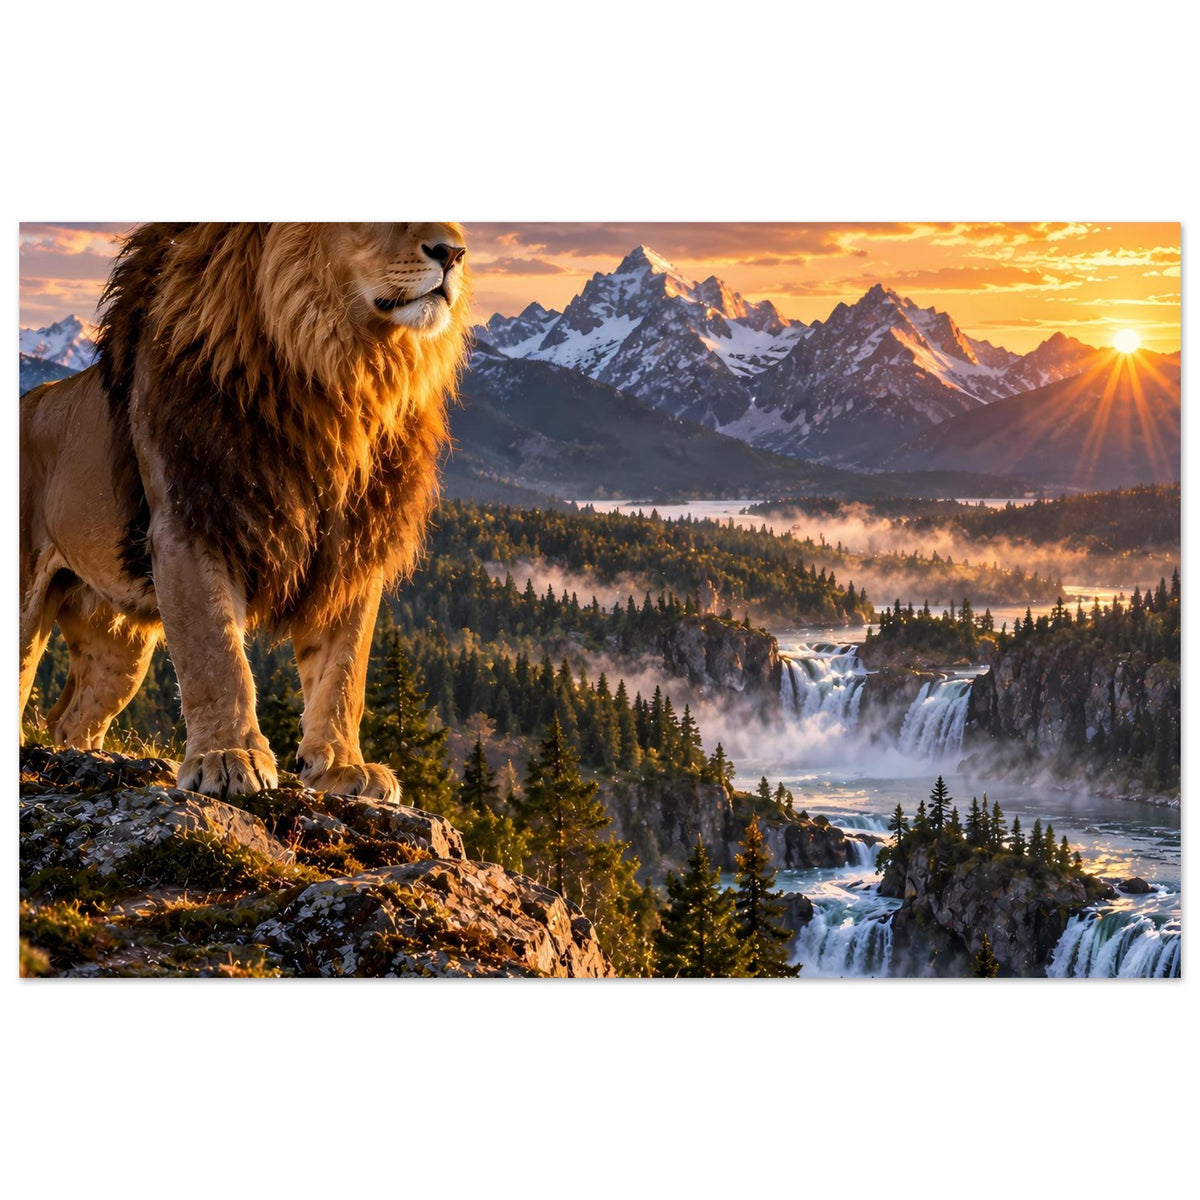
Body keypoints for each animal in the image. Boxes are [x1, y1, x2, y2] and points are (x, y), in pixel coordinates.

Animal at [20, 222, 471, 803]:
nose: (453, 253)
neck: (339, 373)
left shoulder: (352, 550)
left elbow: (344, 670)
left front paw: (342, 766)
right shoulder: (190, 523)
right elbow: (216, 653)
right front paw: (228, 756)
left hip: (119, 644)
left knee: (71, 719)